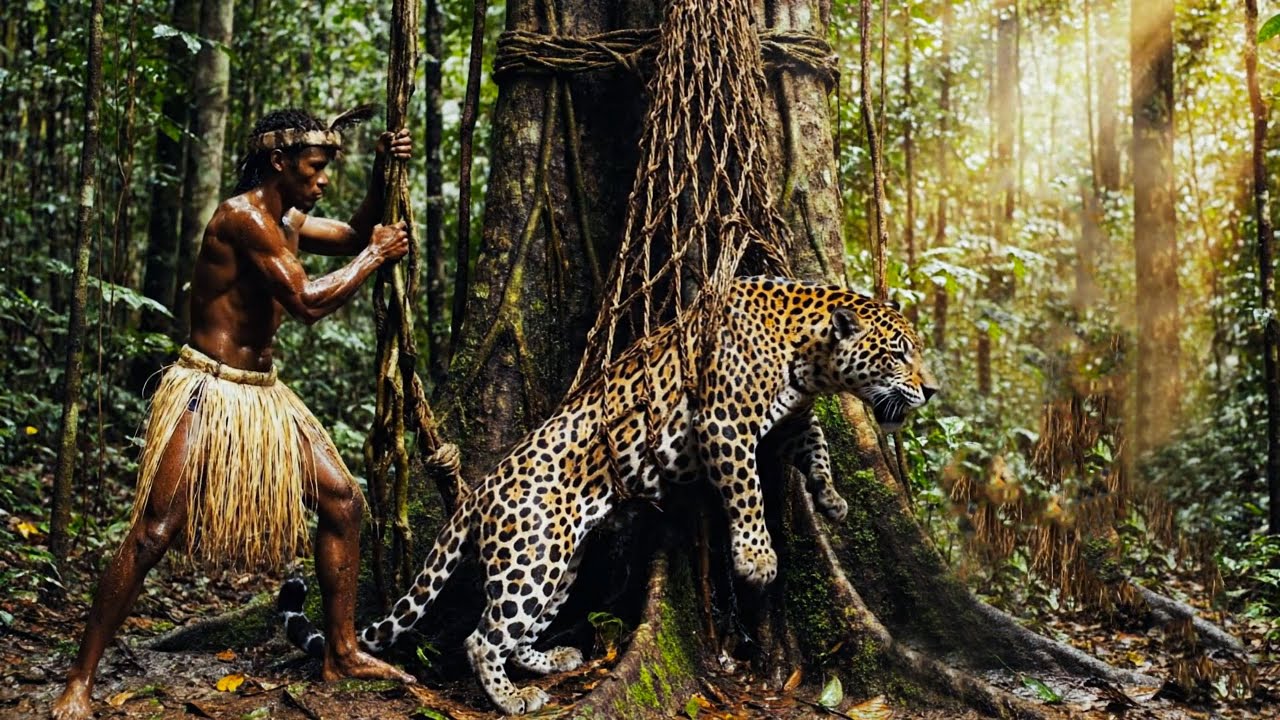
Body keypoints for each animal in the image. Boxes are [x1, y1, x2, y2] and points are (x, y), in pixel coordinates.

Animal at [277, 276, 938, 715]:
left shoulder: (789, 417)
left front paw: (832, 501)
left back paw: (556, 663)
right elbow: (746, 490)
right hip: (530, 559)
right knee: (481, 637)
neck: (809, 352)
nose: (930, 390)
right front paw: (757, 559)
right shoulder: (724, 423)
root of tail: (482, 486)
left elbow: (818, 444)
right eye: (899, 351)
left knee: (519, 630)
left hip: (559, 562)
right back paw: (515, 699)